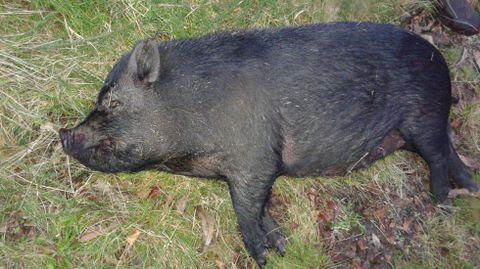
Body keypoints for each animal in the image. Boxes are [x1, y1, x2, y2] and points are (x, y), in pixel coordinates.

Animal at [59, 22, 476, 266]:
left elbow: (246, 208)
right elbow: (260, 207)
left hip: (422, 116)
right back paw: (470, 188)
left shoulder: (255, 158)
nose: (64, 133)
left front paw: (263, 256)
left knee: (438, 156)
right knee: (451, 150)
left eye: (113, 102)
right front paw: (281, 246)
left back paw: (443, 201)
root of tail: (441, 60)